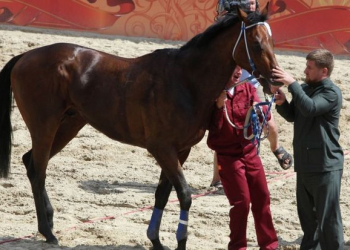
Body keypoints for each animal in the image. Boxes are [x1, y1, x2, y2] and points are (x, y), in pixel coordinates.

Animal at [0, 4, 278, 250]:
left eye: (272, 42)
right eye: (256, 43)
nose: (275, 80)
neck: (185, 80)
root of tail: (25, 56)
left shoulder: (181, 151)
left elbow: (163, 194)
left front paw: (155, 240)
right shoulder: (162, 149)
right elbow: (185, 194)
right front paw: (179, 242)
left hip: (68, 125)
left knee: (30, 162)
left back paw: (48, 223)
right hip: (44, 126)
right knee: (38, 170)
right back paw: (48, 232)